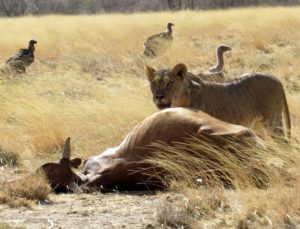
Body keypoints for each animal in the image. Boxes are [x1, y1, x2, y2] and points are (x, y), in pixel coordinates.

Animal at [146, 62, 292, 139]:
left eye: (169, 83)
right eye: (154, 83)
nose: (159, 97)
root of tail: (277, 79)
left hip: (272, 121)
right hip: (258, 125)